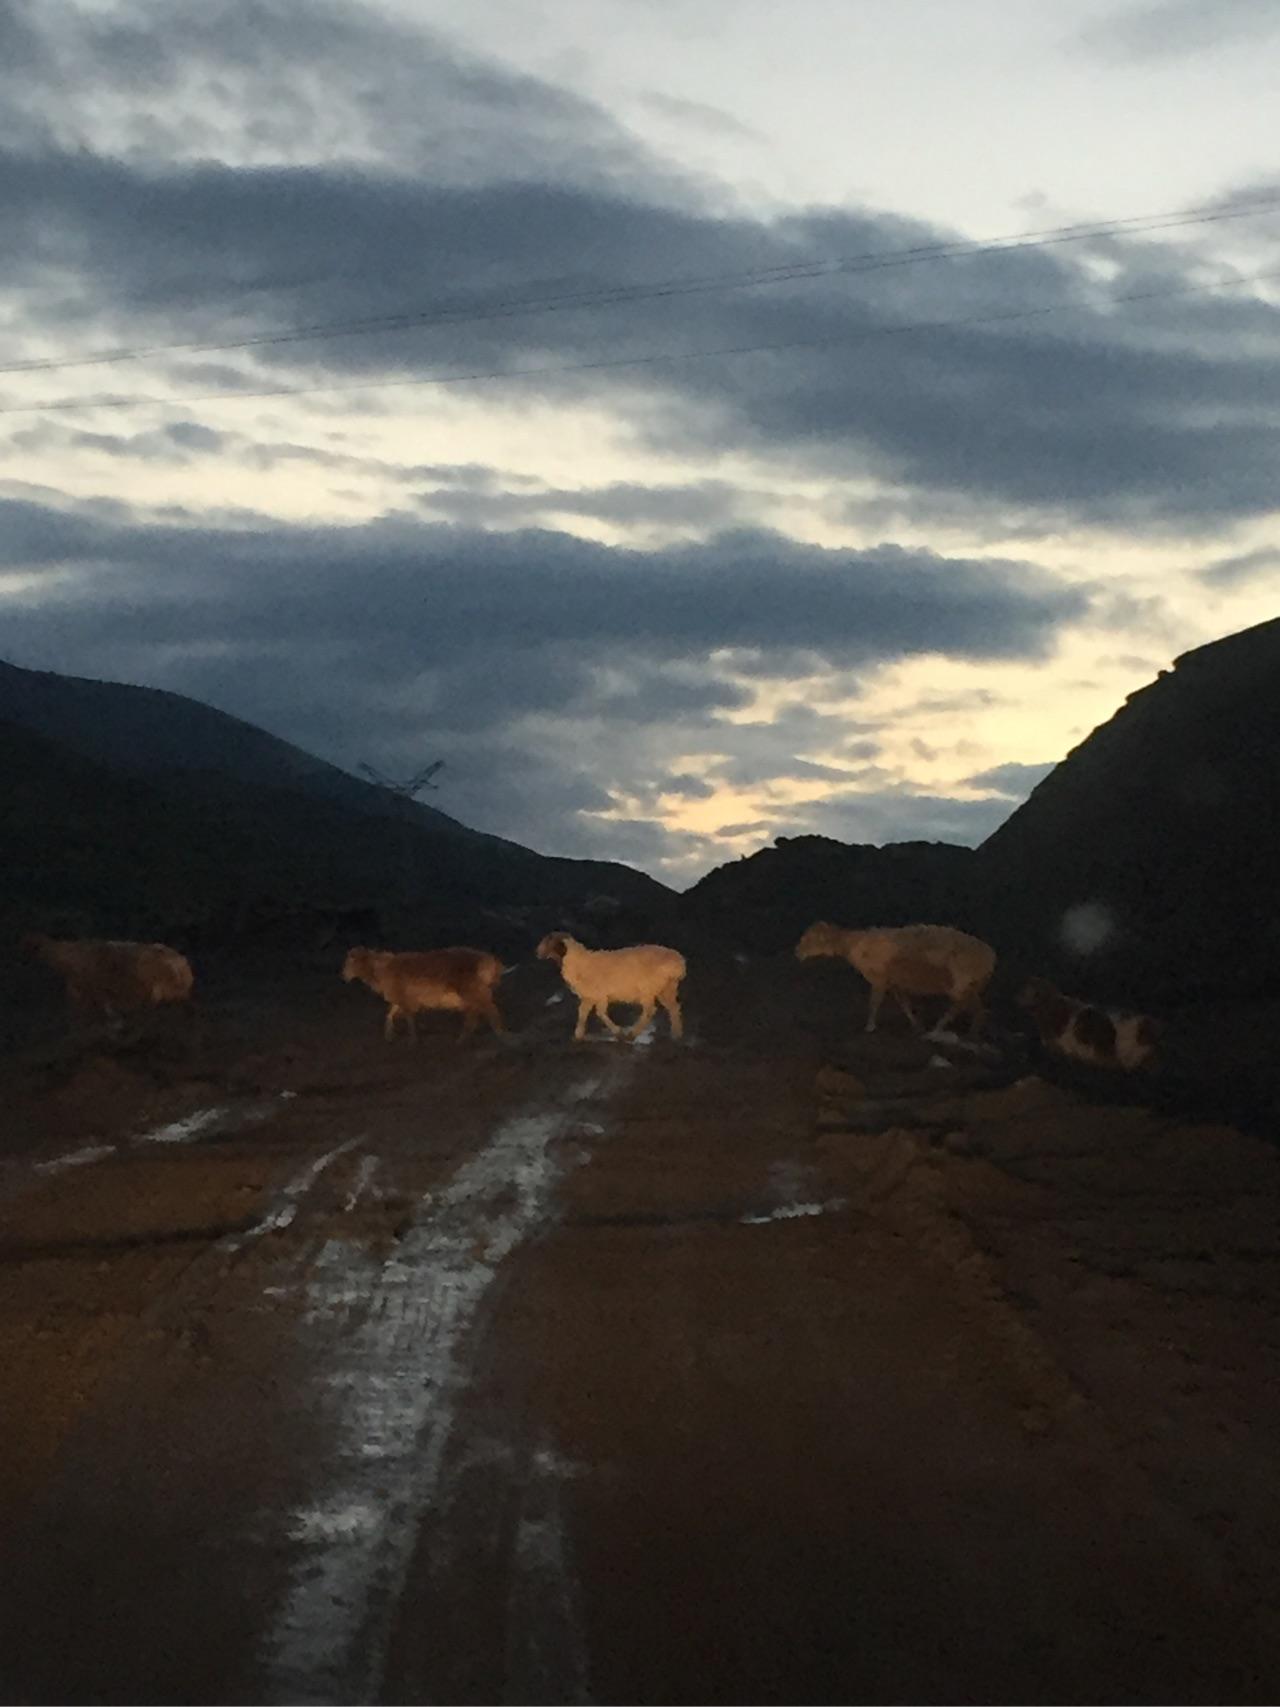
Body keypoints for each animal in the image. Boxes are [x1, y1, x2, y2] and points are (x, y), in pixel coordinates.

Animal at [341, 949, 512, 1037]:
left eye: (349, 962)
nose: (342, 976)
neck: (380, 970)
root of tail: (492, 962)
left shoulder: (403, 997)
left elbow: (409, 1018)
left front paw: (412, 1041)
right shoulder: (402, 998)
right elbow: (390, 1014)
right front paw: (389, 1035)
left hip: (473, 991)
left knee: (488, 1010)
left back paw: (497, 1032)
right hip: (473, 993)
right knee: (476, 1013)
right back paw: (466, 1037)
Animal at [535, 935, 686, 1037]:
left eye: (548, 942)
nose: (537, 953)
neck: (579, 963)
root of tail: (678, 963)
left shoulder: (600, 995)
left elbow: (600, 1013)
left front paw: (617, 1031)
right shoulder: (589, 997)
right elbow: (582, 1013)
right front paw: (578, 1034)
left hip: (648, 989)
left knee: (650, 1010)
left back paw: (633, 1033)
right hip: (666, 988)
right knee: (673, 1007)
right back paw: (676, 1033)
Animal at [798, 921, 996, 1037]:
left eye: (811, 939)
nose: (796, 952)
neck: (854, 945)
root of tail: (991, 957)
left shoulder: (879, 979)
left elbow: (874, 1003)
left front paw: (870, 1027)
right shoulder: (894, 982)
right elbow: (905, 1004)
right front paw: (917, 1025)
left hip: (961, 983)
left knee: (960, 1007)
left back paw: (938, 1029)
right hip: (971, 985)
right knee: (978, 1009)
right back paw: (972, 1033)